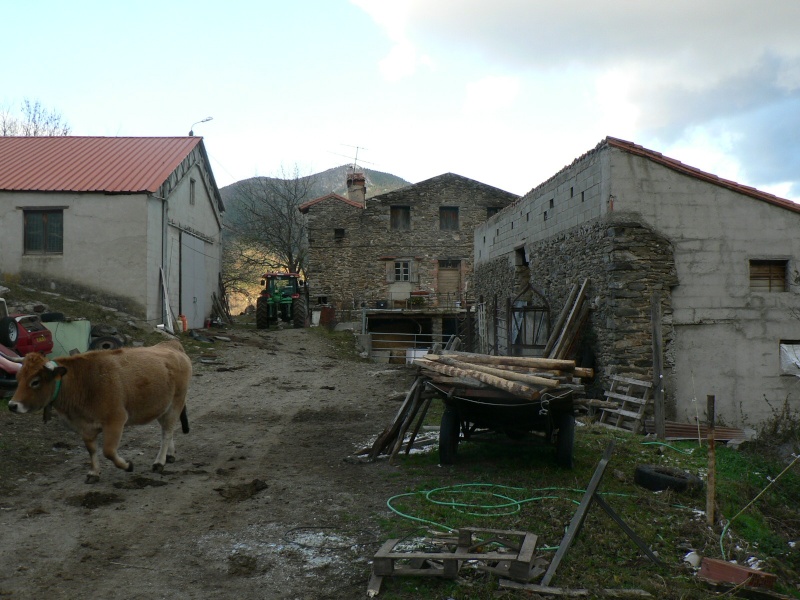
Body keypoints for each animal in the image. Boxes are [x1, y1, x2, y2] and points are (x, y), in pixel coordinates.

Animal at [8, 342, 192, 482]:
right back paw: (169, 455)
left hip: (176, 402)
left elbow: (108, 451)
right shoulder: (85, 427)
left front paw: (127, 465)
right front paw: (94, 472)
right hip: (162, 407)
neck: (83, 382)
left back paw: (159, 462)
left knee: (167, 432)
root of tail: (170, 344)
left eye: (35, 381)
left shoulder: (115, 420)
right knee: (166, 430)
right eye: (17, 379)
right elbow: (92, 450)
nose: (12, 405)